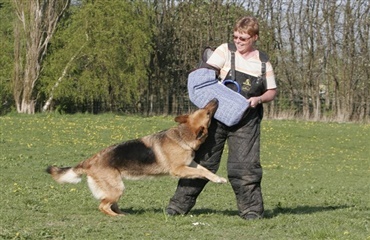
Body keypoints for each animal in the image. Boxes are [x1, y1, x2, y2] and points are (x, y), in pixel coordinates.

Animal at [46, 98, 225, 217]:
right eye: (207, 112)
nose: (216, 99)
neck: (183, 135)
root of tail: (90, 160)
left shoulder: (191, 164)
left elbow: (205, 170)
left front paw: (218, 178)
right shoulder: (179, 170)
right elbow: (201, 172)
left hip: (116, 187)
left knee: (110, 204)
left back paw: (123, 213)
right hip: (117, 188)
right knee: (103, 206)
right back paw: (118, 217)